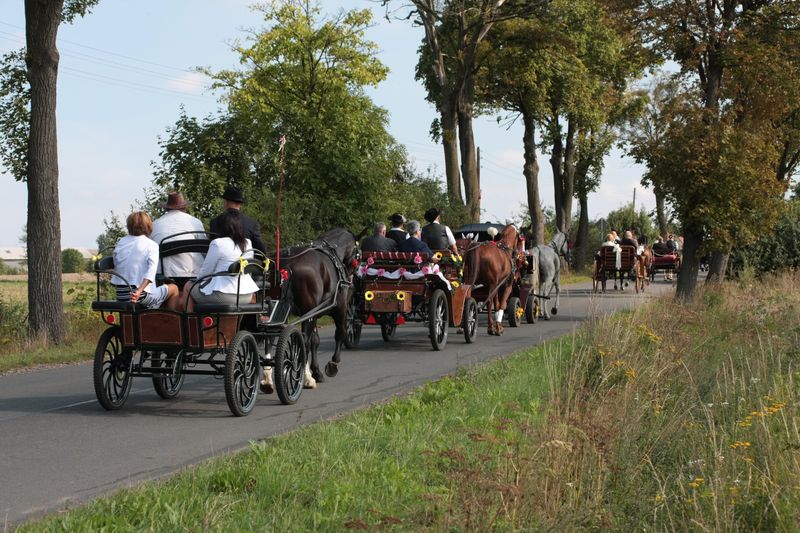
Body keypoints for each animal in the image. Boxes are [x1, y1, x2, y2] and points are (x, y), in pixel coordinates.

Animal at [262, 228, 360, 390]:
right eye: (358, 253)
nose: (353, 278)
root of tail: (288, 264)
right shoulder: (339, 308)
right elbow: (340, 333)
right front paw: (332, 365)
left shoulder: (314, 313)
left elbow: (316, 340)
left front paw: (317, 372)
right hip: (309, 313)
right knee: (304, 340)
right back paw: (306, 378)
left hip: (276, 311)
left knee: (269, 338)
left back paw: (267, 379)